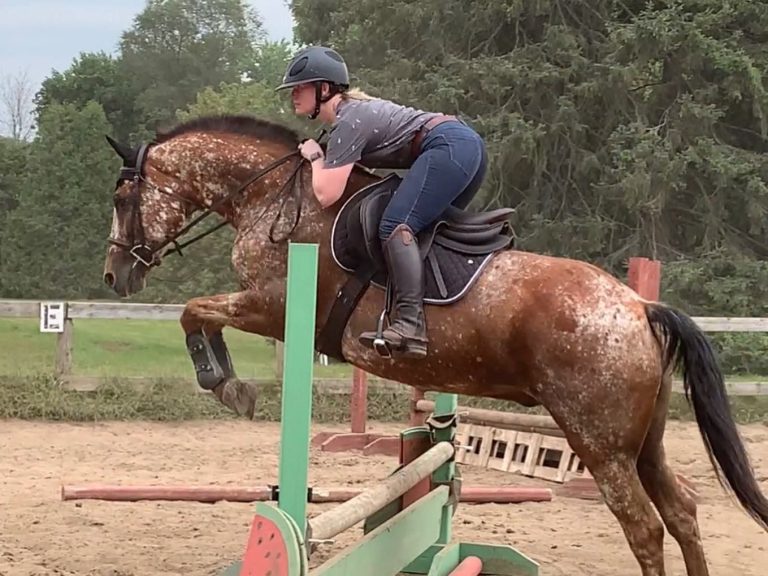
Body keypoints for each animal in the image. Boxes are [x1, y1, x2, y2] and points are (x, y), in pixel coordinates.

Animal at [101, 114, 767, 576]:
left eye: (120, 198)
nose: (114, 276)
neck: (273, 197)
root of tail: (638, 307)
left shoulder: (272, 306)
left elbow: (193, 312)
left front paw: (226, 385)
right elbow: (198, 314)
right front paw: (229, 384)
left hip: (600, 444)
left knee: (645, 529)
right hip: (643, 443)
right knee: (682, 511)